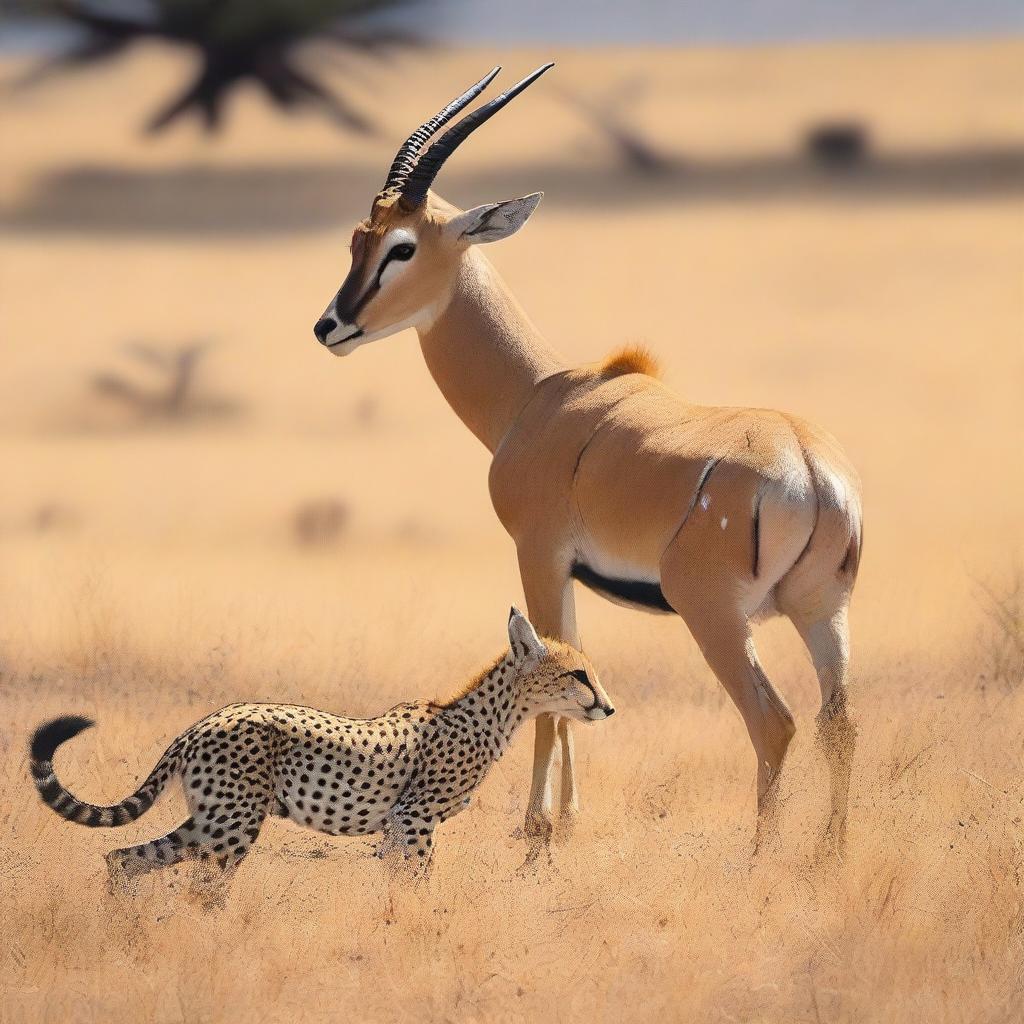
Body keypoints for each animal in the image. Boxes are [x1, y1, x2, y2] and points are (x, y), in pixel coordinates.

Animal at [28, 606, 610, 888]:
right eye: (578, 674)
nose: (607, 706)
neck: (488, 716)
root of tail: (202, 722)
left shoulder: (396, 830)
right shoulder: (413, 820)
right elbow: (418, 886)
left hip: (210, 820)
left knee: (123, 859)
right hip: (232, 825)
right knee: (201, 889)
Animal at [311, 64, 864, 856]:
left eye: (403, 247)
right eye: (361, 238)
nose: (331, 325)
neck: (537, 396)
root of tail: (811, 468)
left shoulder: (538, 557)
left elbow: (544, 692)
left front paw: (539, 828)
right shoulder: (573, 575)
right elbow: (572, 668)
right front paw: (568, 819)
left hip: (716, 618)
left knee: (775, 722)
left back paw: (763, 857)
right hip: (824, 613)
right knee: (839, 722)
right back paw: (828, 857)